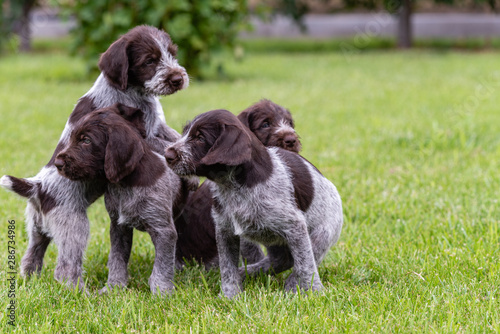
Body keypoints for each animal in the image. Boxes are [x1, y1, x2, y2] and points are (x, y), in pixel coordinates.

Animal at [54, 103, 181, 294]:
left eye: (86, 140)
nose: (57, 163)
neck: (126, 184)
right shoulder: (119, 227)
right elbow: (117, 260)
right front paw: (113, 287)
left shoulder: (163, 230)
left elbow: (162, 266)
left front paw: (162, 292)